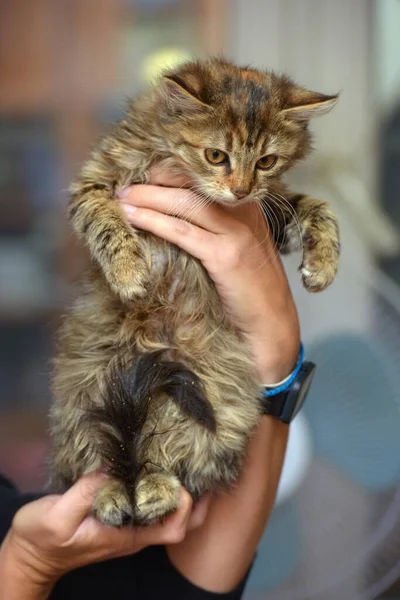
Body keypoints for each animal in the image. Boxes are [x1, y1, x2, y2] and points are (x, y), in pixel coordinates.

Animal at [49, 56, 338, 524]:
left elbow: (318, 207)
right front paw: (129, 273)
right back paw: (112, 495)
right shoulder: (95, 182)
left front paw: (324, 266)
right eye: (216, 156)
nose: (240, 190)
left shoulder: (271, 210)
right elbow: (105, 221)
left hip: (210, 403)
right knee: (101, 460)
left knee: (171, 457)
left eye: (267, 161)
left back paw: (157, 490)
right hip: (85, 396)